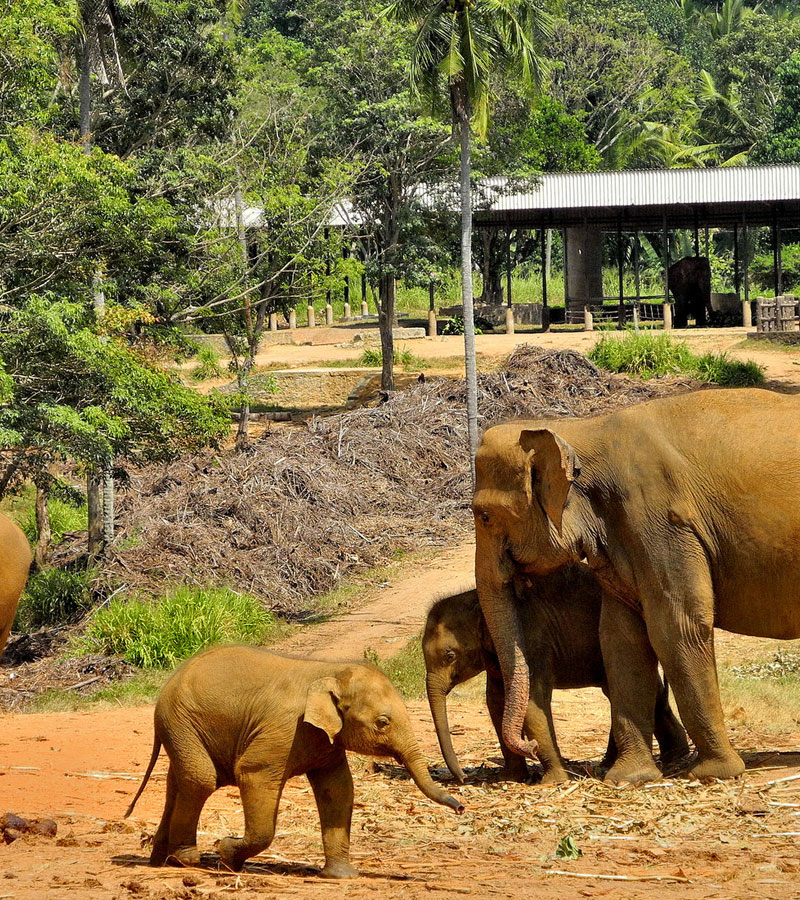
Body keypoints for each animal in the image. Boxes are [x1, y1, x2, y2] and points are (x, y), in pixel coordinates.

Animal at [126, 646, 464, 878]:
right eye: (383, 722)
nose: (461, 807)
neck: (330, 672)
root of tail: (169, 683)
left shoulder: (324, 739)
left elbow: (337, 789)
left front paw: (341, 877)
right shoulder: (284, 729)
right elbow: (252, 773)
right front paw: (227, 853)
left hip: (182, 728)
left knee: (179, 781)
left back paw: (160, 861)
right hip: (181, 722)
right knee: (201, 778)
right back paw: (187, 860)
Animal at [423, 570, 689, 785]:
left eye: (449, 655)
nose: (463, 778)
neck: (476, 598)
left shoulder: (531, 642)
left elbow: (530, 702)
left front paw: (554, 781)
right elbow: (496, 703)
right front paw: (510, 779)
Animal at [472, 387, 800, 785]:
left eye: (483, 516)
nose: (530, 748)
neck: (582, 429)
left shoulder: (661, 522)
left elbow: (676, 626)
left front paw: (715, 772)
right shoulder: (623, 539)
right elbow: (620, 636)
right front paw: (628, 778)